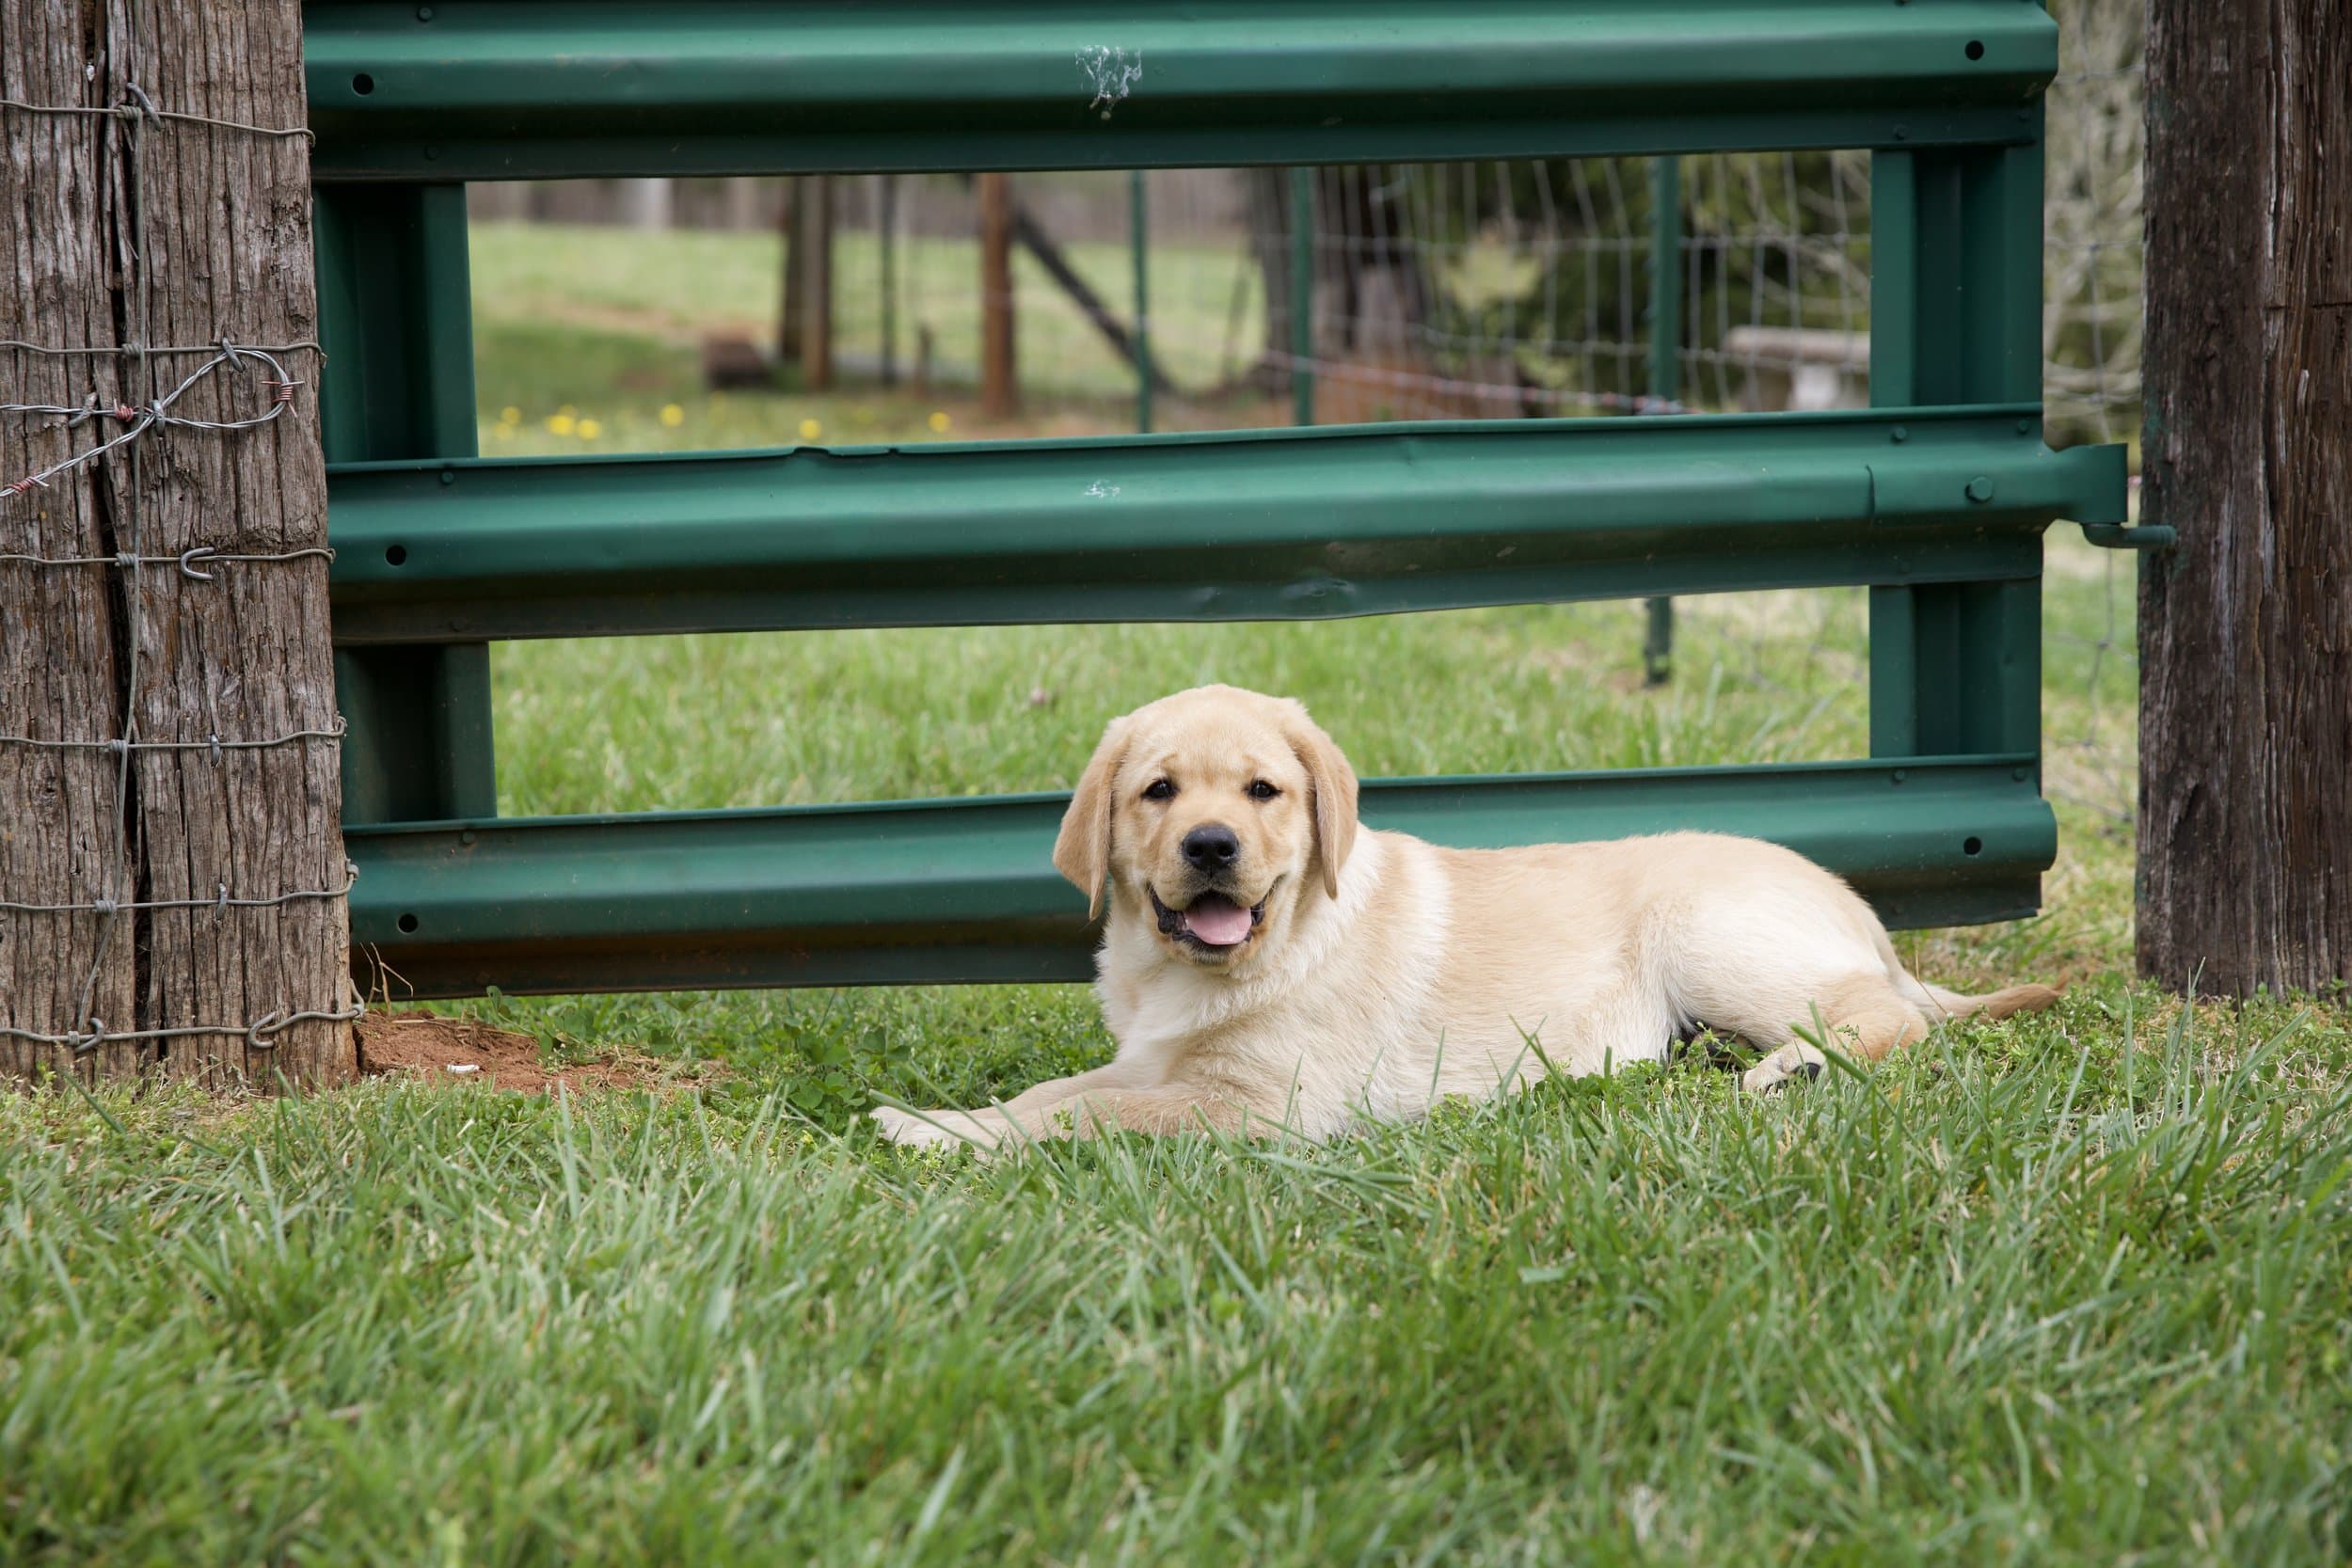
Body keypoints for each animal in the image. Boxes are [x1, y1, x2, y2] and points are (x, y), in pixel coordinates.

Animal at [870, 681, 2060, 1147]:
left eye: (1262, 791)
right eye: (1158, 791)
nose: (1211, 847)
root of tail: (1863, 917)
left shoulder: (1257, 1106)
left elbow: (1086, 1113)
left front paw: (943, 1134)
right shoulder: (1160, 1061)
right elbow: (1062, 1089)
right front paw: (950, 1115)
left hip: (1712, 931)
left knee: (1884, 1017)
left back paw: (1787, 1070)